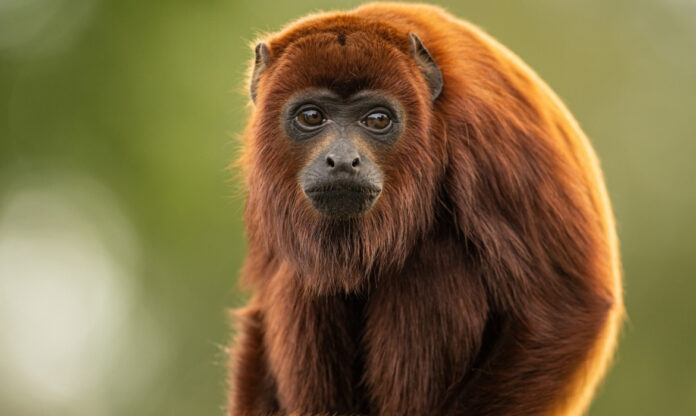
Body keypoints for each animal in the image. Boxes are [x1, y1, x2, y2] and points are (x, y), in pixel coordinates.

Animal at [228, 3, 623, 416]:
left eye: (378, 119)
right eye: (311, 116)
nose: (342, 161)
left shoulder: (494, 135)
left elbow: (566, 308)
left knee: (434, 258)